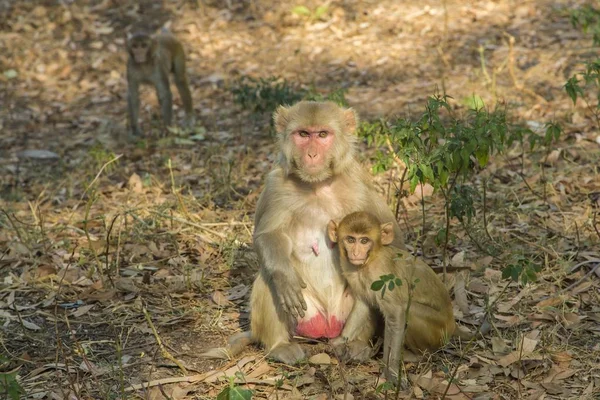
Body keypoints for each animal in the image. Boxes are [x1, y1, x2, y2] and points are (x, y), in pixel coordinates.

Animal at [246, 101, 406, 362]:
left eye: (322, 135)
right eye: (303, 134)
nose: (311, 154)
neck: (317, 185)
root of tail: (327, 328)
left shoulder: (359, 185)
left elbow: (391, 247)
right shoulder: (276, 185)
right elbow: (267, 236)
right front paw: (285, 278)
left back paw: (355, 343)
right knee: (268, 278)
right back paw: (279, 345)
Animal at [328, 212, 454, 384]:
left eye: (364, 241)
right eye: (351, 239)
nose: (355, 253)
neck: (368, 262)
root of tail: (453, 325)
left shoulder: (382, 277)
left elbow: (396, 315)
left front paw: (391, 371)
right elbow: (363, 305)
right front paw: (341, 340)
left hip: (440, 332)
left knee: (409, 312)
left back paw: (417, 356)